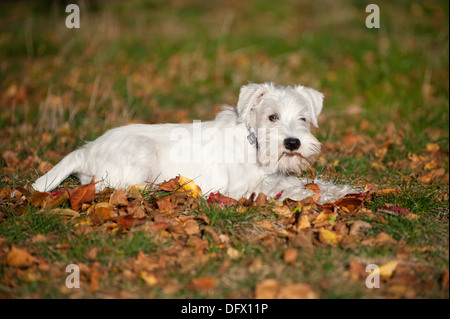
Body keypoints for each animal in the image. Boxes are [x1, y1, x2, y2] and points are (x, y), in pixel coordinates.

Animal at [32, 84, 356, 204]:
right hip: (140, 158)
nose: (292, 143)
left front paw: (346, 191)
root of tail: (86, 150)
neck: (252, 142)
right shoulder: (246, 189)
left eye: (303, 118)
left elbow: (313, 183)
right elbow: (293, 191)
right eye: (272, 116)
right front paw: (317, 197)